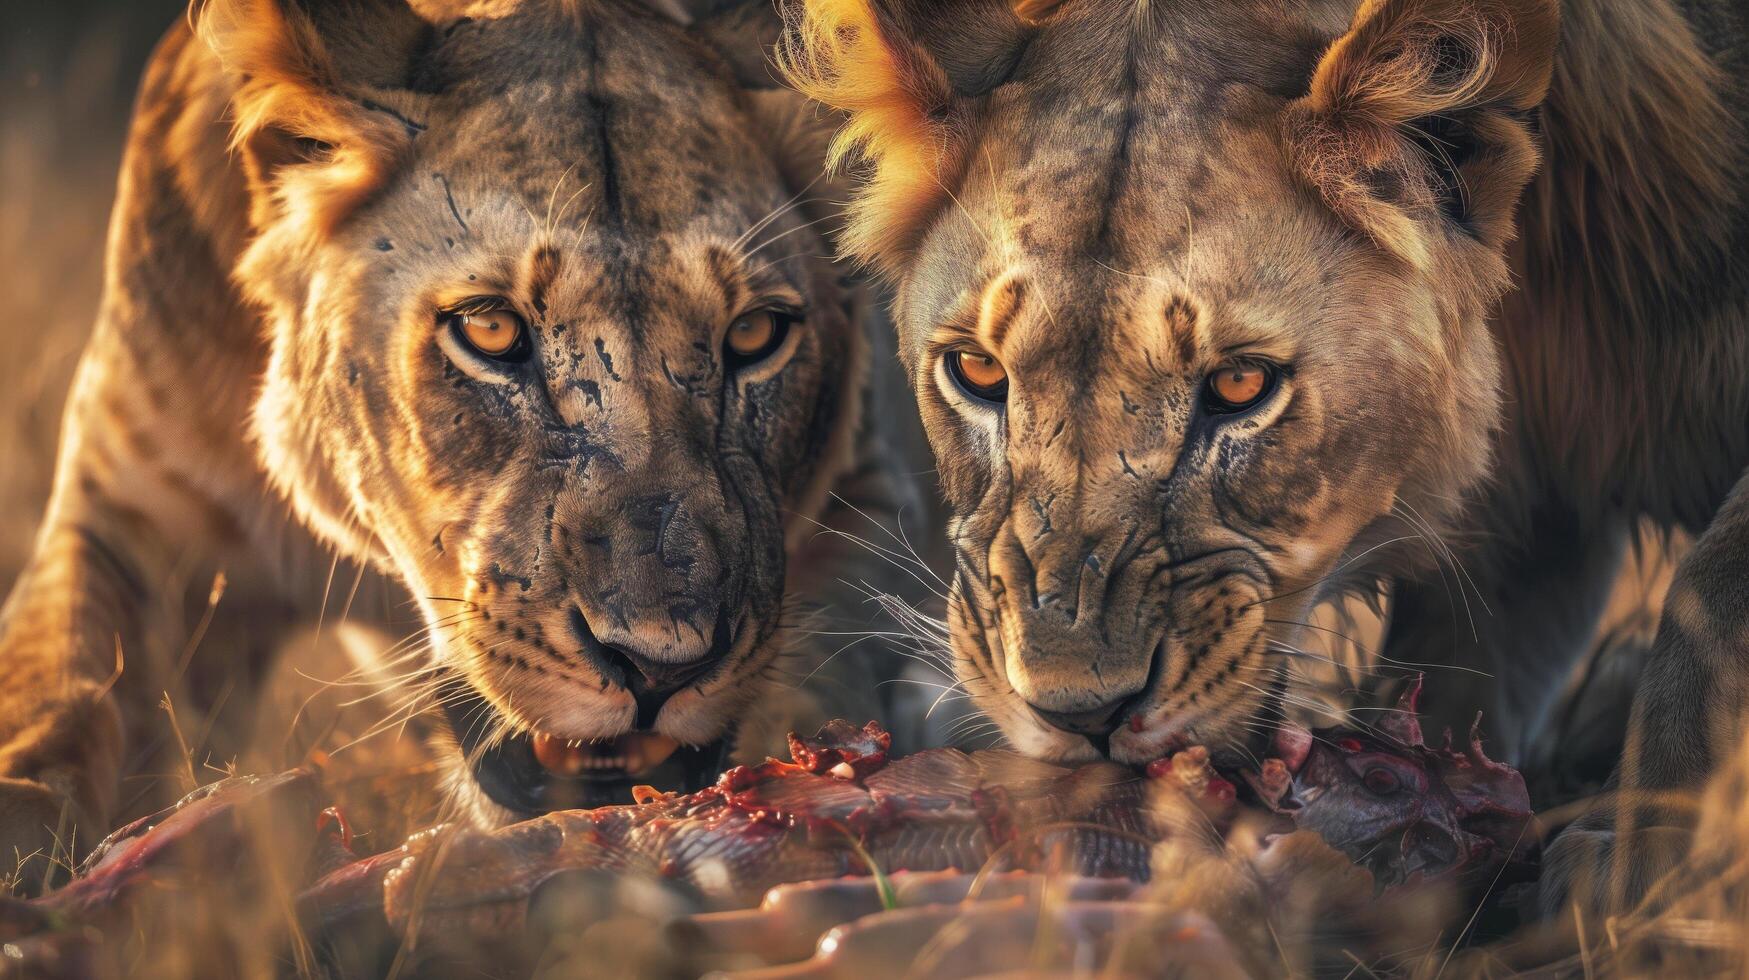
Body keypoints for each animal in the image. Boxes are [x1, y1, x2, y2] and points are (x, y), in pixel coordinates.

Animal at [0, 0, 944, 889]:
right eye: (489, 331)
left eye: (753, 335)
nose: (657, 667)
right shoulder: (126, 527)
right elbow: (56, 708)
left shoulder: (873, 502)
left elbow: (823, 678)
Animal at [787, 0, 1749, 917]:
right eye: (978, 373)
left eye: (1241, 385)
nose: (1079, 713)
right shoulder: (1527, 509)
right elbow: (1463, 662)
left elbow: (1709, 586)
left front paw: (1639, 865)